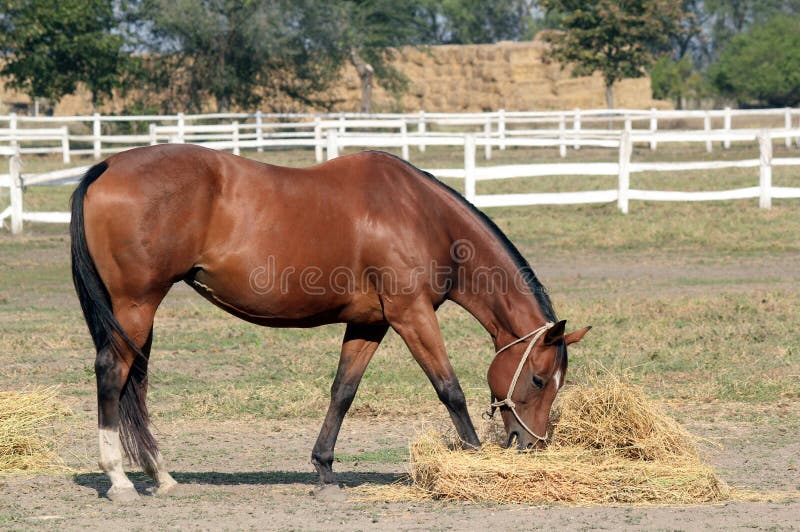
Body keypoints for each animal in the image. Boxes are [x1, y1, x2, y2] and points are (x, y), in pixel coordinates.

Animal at [70, 144, 590, 502]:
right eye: (539, 378)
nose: (532, 444)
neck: (422, 216)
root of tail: (108, 166)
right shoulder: (412, 315)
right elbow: (450, 389)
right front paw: (475, 461)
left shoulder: (370, 324)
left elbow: (343, 391)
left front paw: (323, 470)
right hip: (136, 305)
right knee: (113, 374)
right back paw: (119, 479)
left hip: (138, 312)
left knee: (134, 381)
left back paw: (160, 474)